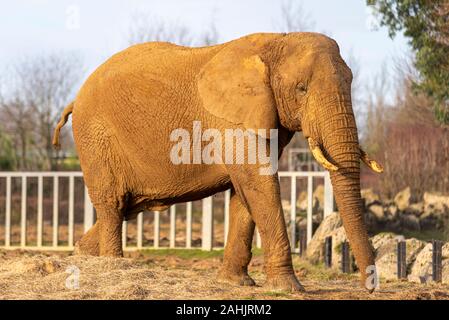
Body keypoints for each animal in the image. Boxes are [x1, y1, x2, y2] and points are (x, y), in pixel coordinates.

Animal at [52, 32, 382, 292]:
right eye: (301, 89)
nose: (369, 288)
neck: (276, 41)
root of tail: (74, 99)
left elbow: (246, 192)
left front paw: (236, 283)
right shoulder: (231, 120)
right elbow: (259, 183)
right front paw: (289, 288)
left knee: (125, 209)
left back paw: (80, 257)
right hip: (96, 138)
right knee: (113, 206)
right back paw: (113, 268)